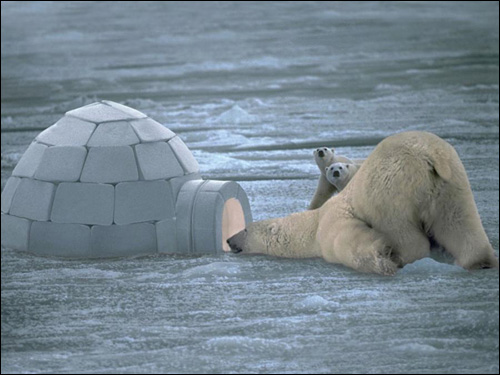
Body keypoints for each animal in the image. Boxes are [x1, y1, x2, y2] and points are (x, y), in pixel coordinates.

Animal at [229, 132, 498, 276]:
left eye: (245, 229)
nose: (229, 239)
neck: (312, 225)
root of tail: (429, 155)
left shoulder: (332, 221)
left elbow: (348, 240)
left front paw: (382, 256)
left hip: (390, 187)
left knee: (402, 228)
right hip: (451, 183)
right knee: (460, 223)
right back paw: (480, 261)